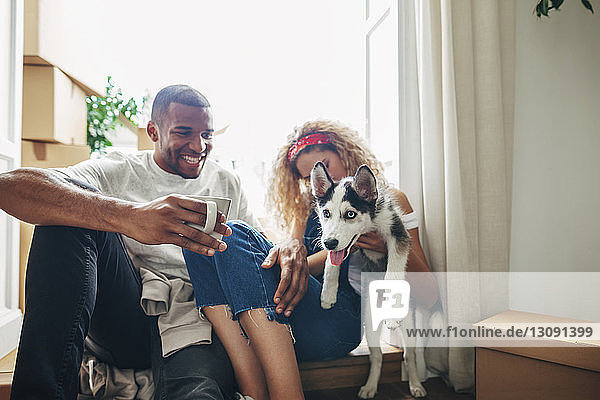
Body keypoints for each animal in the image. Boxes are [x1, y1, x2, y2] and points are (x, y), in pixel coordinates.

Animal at [310, 162, 426, 396]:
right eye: (326, 213)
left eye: (350, 214)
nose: (329, 242)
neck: (369, 224)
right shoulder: (340, 246)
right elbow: (331, 263)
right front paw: (328, 294)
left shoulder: (397, 233)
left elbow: (393, 269)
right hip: (370, 326)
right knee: (377, 356)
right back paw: (370, 387)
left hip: (409, 325)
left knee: (409, 355)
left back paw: (416, 385)